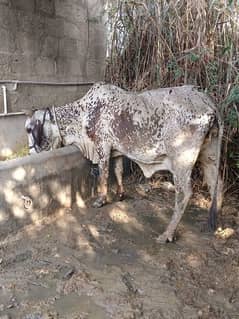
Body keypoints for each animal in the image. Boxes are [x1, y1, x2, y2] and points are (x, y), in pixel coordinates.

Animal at [24, 83, 224, 245]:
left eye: (29, 128)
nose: (30, 152)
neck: (82, 114)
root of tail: (208, 101)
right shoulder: (117, 151)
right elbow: (118, 171)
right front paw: (120, 194)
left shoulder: (103, 147)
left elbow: (103, 174)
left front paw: (101, 200)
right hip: (209, 155)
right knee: (217, 184)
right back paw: (217, 224)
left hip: (182, 160)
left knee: (184, 194)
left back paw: (166, 234)